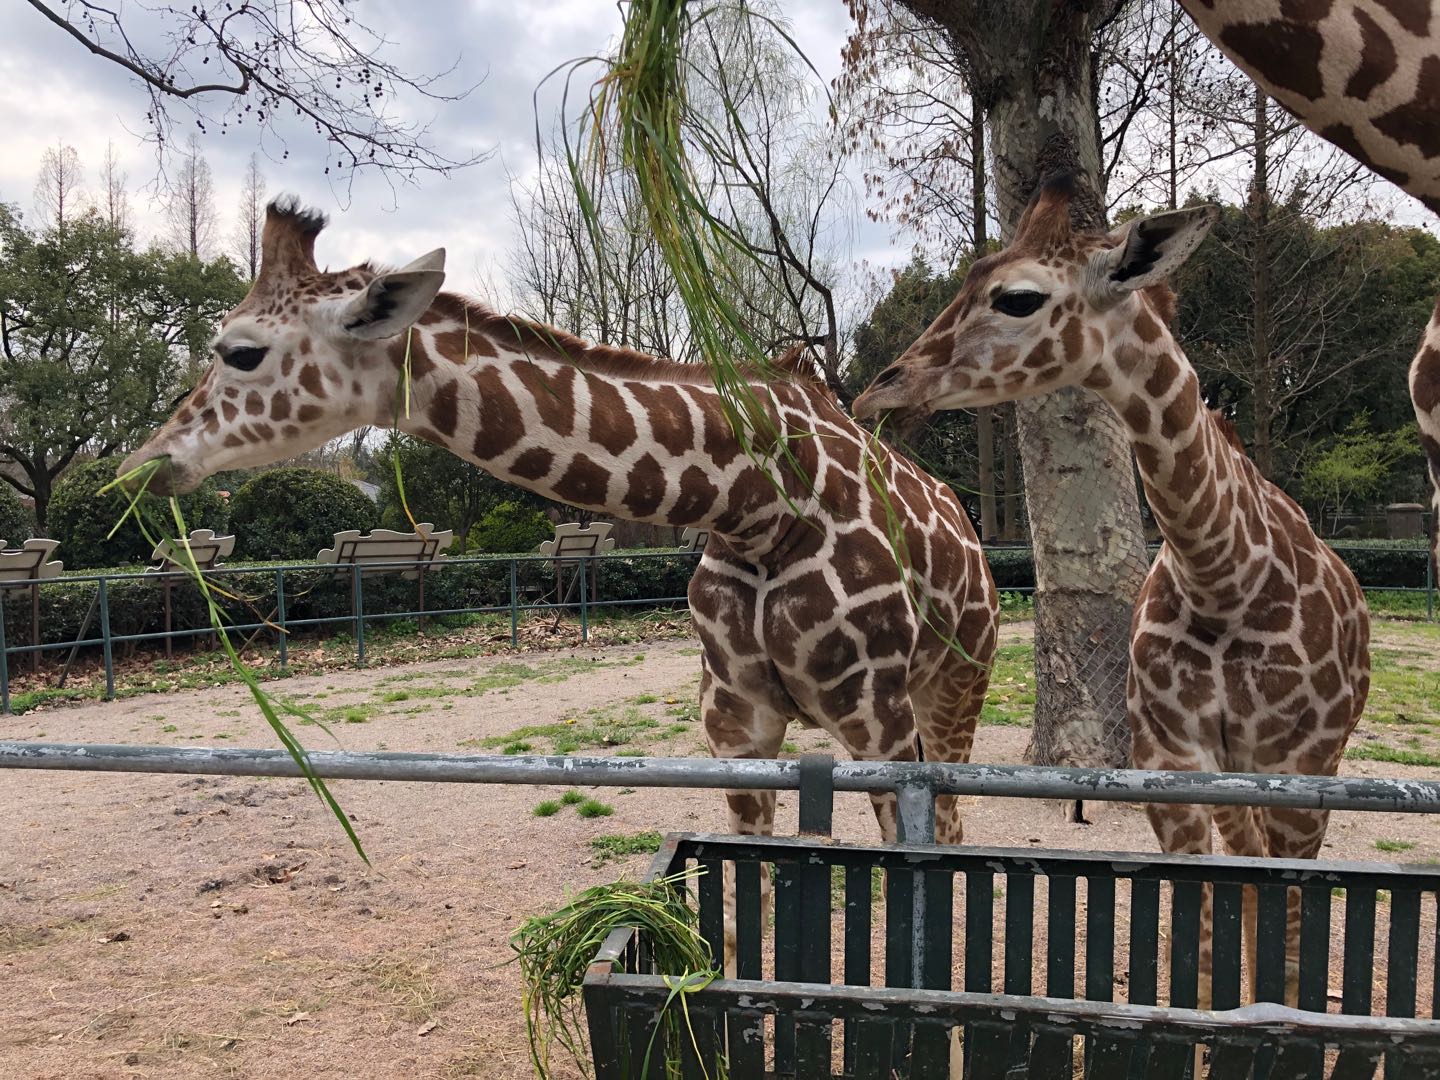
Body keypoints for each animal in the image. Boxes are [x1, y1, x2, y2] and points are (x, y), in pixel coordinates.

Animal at [120, 198, 1002, 961]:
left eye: (239, 351)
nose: (143, 465)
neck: (756, 505)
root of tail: (969, 525)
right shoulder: (736, 721)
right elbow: (746, 907)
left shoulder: (876, 718)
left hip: (956, 685)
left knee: (957, 824)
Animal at [852, 173, 1370, 1013]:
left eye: (1017, 298)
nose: (879, 391)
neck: (1225, 575)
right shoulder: (1177, 761)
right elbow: (1202, 943)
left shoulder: (1303, 767)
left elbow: (1291, 943)